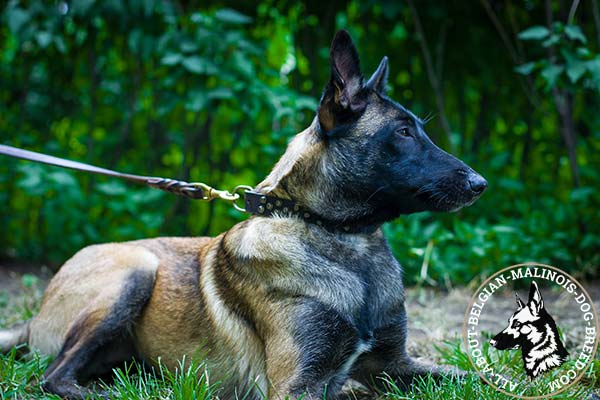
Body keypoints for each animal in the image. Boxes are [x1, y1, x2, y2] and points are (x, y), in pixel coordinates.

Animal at [0, 31, 488, 400]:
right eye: (403, 133)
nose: (479, 183)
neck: (340, 238)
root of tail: (33, 319)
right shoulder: (297, 385)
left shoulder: (395, 364)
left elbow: (481, 378)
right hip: (136, 270)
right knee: (53, 376)